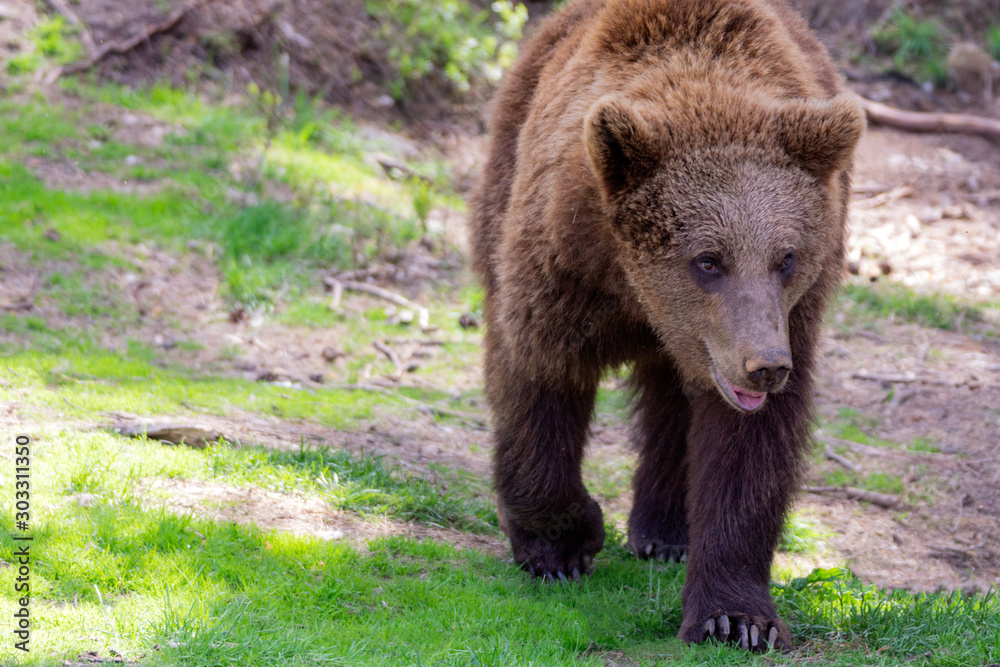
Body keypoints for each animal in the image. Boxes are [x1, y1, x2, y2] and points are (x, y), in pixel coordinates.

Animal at [470, 0, 868, 652]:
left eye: (785, 257)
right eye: (708, 259)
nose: (765, 367)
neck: (639, 295)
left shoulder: (790, 318)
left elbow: (748, 451)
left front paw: (737, 617)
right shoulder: (561, 268)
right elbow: (540, 374)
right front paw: (559, 546)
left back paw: (665, 530)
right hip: (502, 171)